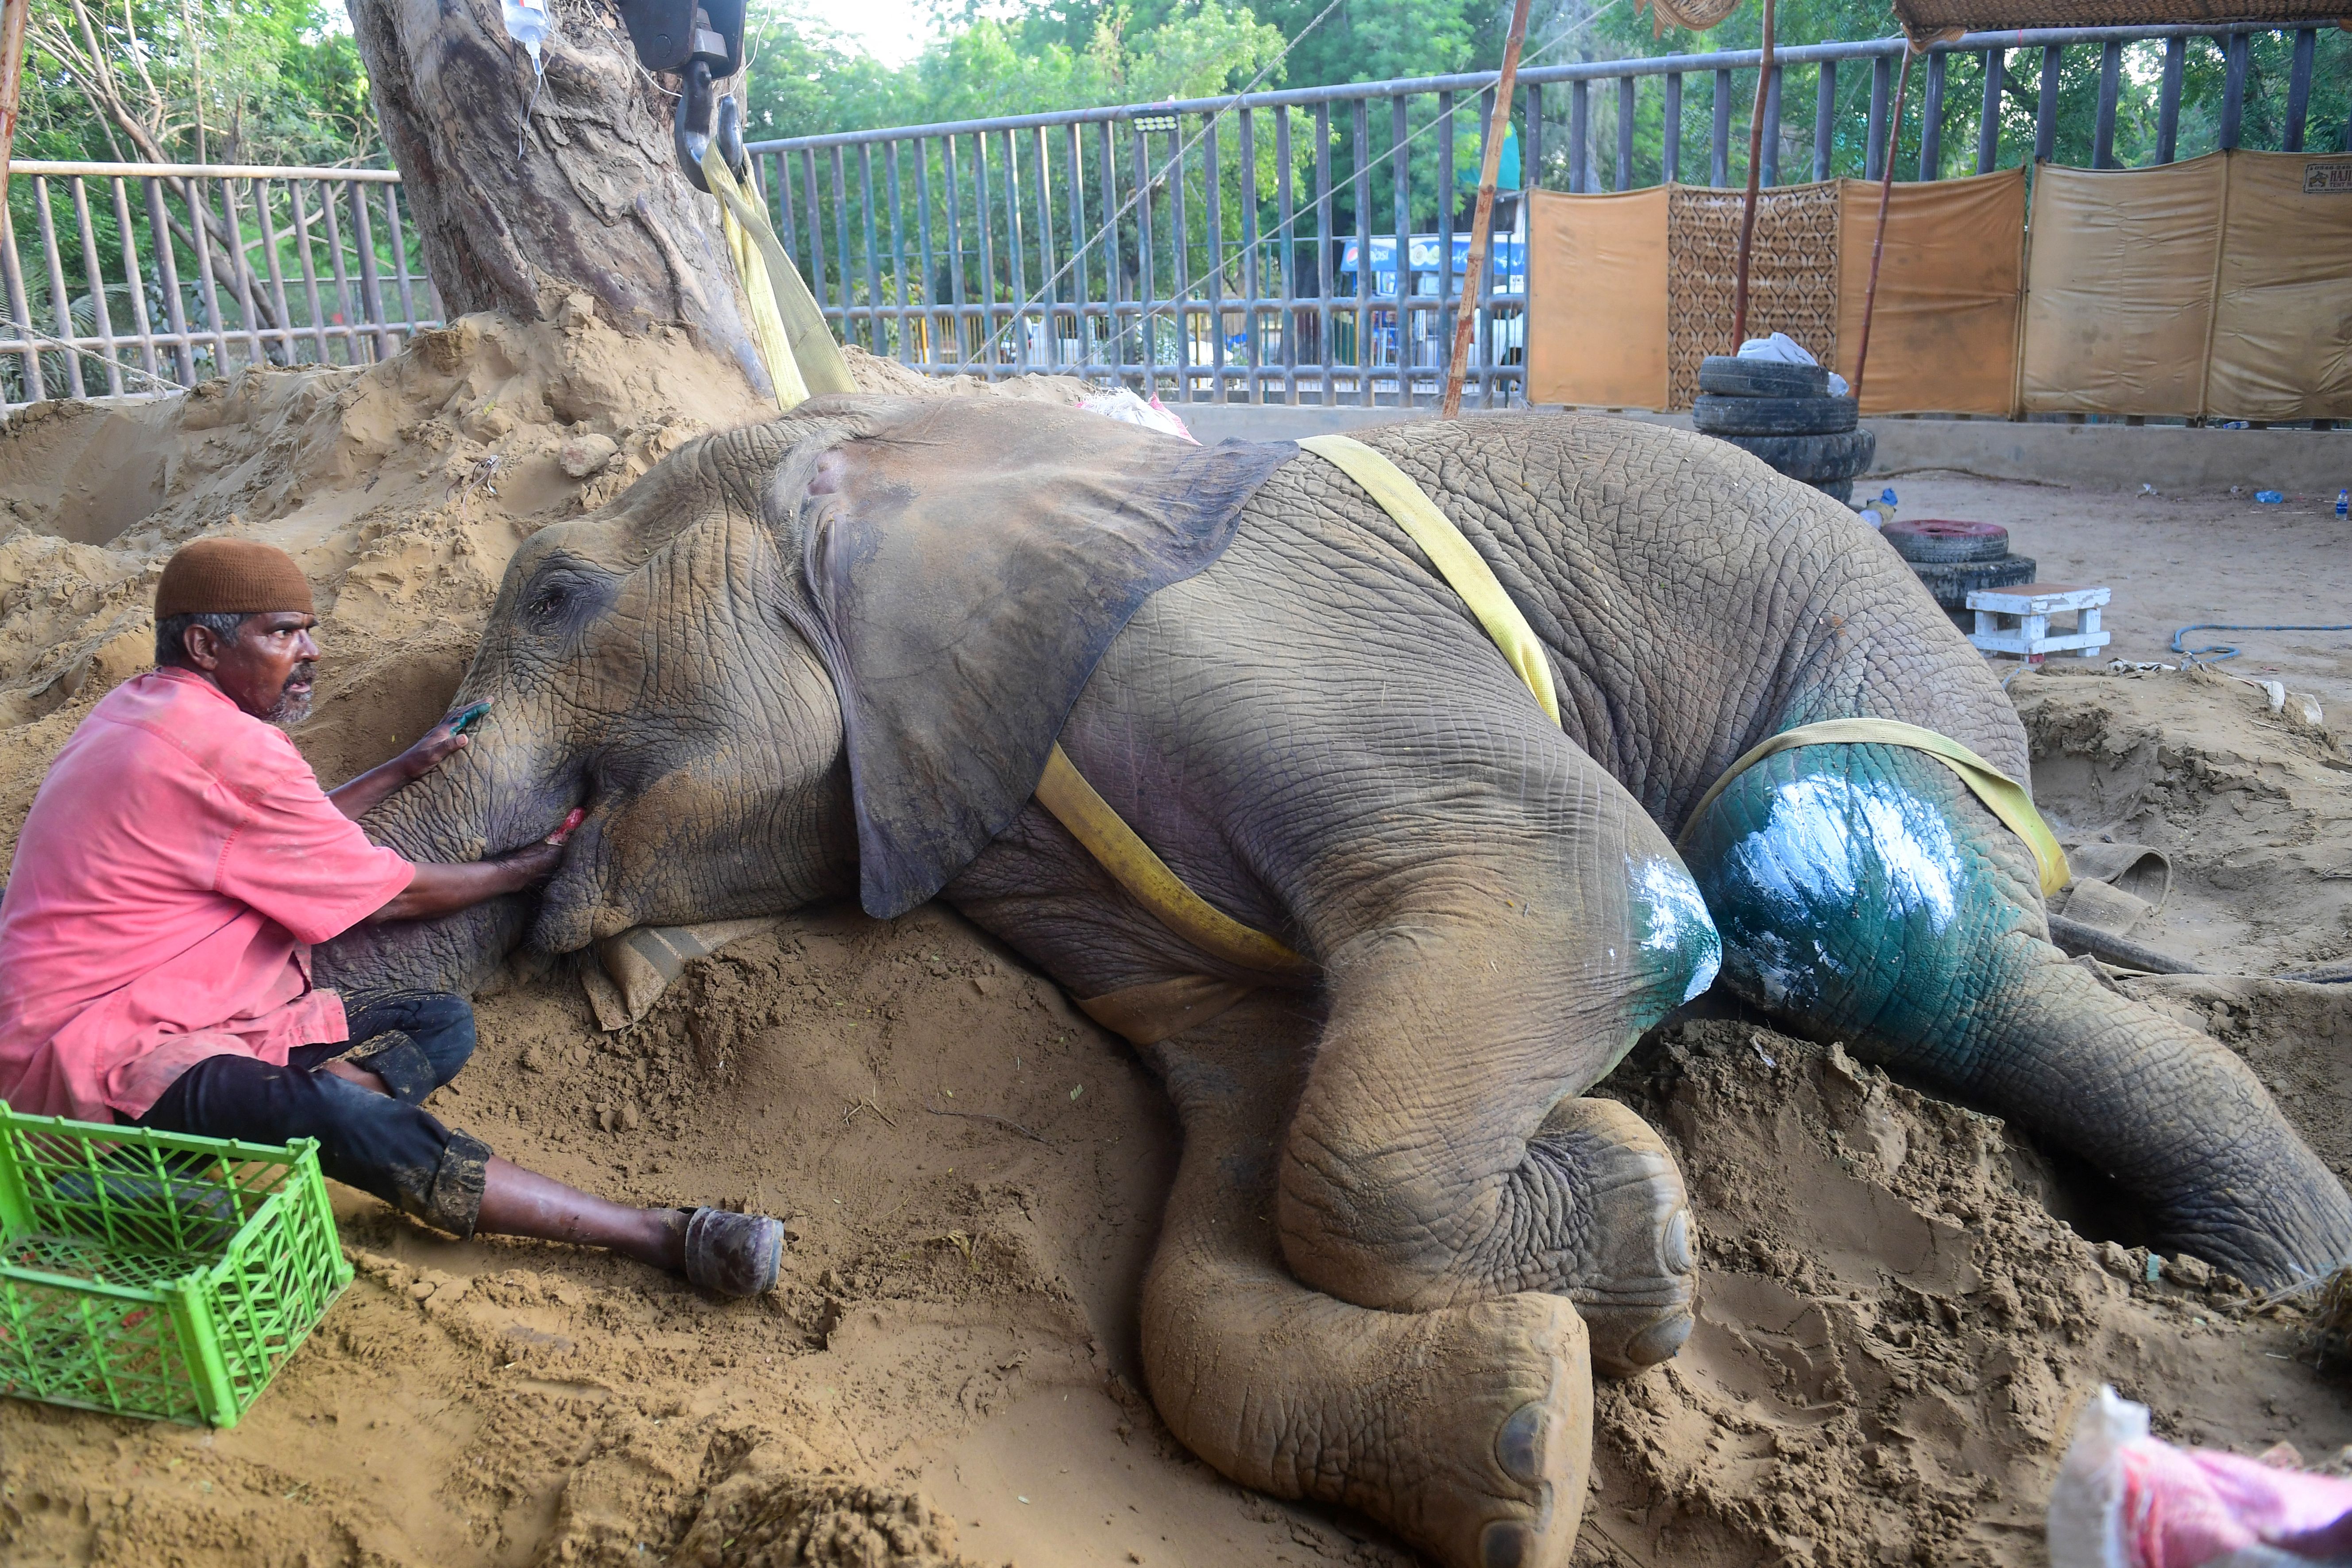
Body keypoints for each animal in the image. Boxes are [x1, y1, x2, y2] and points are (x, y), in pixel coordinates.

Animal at [322, 395, 2352, 1568]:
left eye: (560, 596)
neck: (902, 441)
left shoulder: (1223, 639)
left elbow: (1567, 890)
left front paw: (1644, 1246)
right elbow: (1242, 1171)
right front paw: (1539, 1425)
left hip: (1883, 680)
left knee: (1857, 913)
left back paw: (2255, 1284)